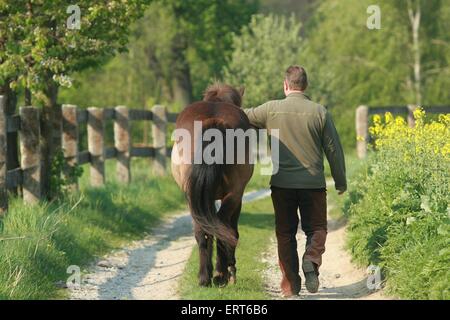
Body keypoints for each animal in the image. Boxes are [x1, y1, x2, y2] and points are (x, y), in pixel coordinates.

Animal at [171, 84, 253, 286]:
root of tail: (213, 119)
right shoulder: (237, 198)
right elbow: (230, 229)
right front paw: (228, 269)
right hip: (233, 195)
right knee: (223, 226)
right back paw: (221, 273)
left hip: (192, 197)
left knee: (203, 230)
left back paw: (204, 276)